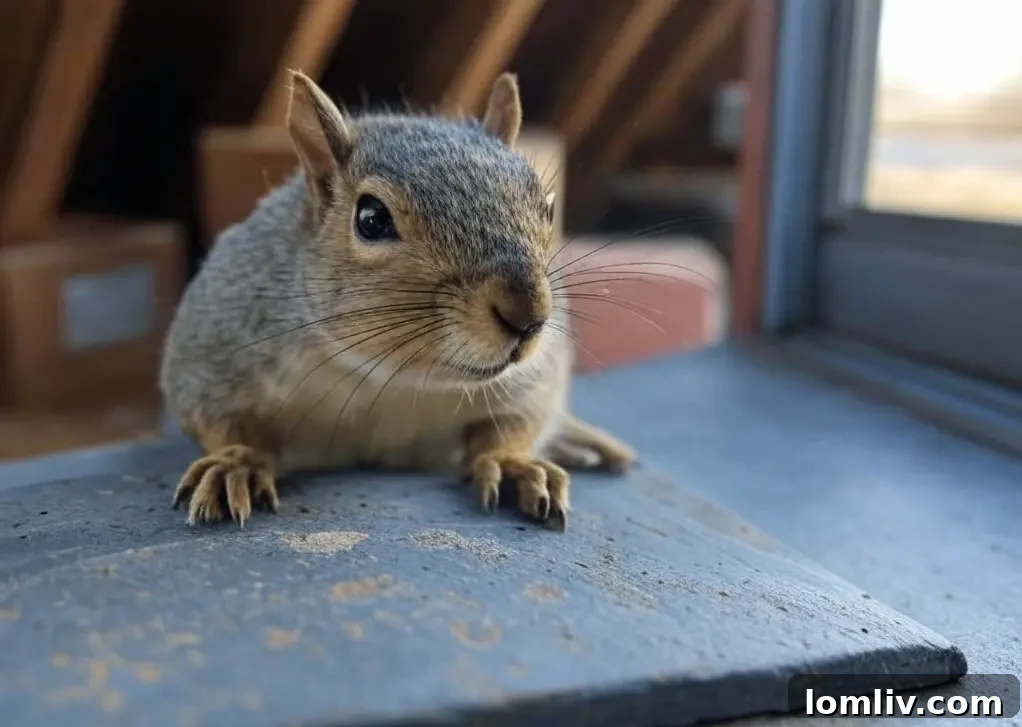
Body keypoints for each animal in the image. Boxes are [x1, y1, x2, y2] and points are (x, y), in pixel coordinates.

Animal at [159, 70, 636, 531]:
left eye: (549, 208)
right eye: (371, 218)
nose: (529, 317)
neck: (393, 379)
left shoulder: (535, 375)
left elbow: (515, 423)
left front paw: (511, 463)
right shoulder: (215, 348)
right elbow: (222, 420)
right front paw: (236, 462)